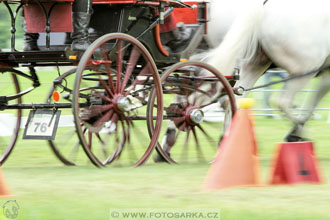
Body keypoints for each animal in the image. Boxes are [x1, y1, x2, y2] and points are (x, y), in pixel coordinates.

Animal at [208, 0, 330, 141]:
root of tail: (264, 6)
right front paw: (296, 132)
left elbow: (313, 100)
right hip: (304, 71)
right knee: (283, 102)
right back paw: (301, 130)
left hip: (255, 65)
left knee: (234, 101)